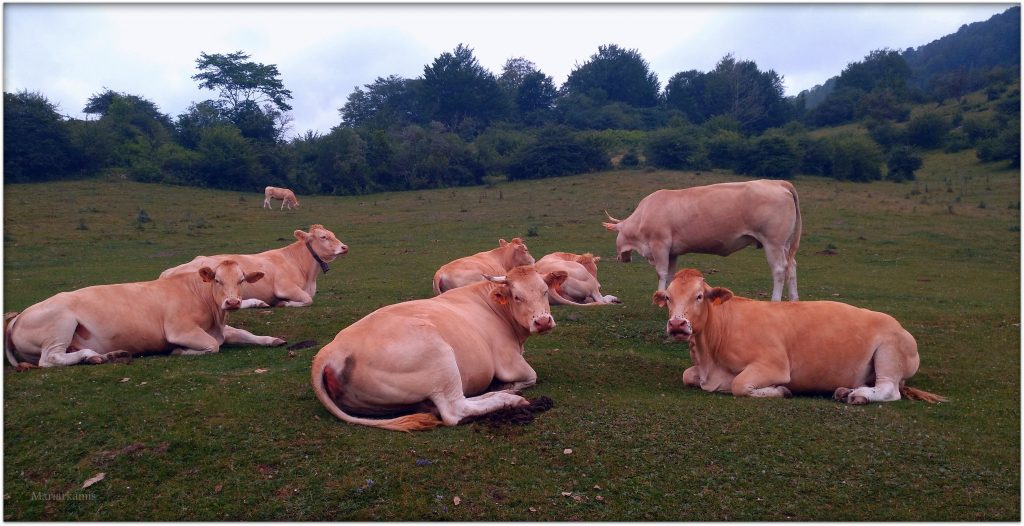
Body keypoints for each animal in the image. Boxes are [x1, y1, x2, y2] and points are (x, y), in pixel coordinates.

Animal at [4, 258, 284, 366]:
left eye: (241, 280)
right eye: (216, 279)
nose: (233, 302)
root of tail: (19, 316)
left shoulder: (221, 330)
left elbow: (245, 334)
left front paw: (272, 340)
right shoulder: (180, 329)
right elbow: (211, 346)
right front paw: (179, 351)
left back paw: (105, 356)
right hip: (60, 324)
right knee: (49, 359)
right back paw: (89, 355)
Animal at [161, 222, 346, 307]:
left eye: (333, 234)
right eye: (323, 237)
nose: (345, 247)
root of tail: (167, 272)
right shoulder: (284, 287)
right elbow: (308, 300)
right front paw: (283, 303)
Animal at [311, 266, 569, 429]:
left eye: (545, 291)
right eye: (517, 296)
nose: (543, 321)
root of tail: (331, 349)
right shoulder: (510, 362)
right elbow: (529, 376)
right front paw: (508, 387)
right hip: (439, 356)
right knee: (455, 409)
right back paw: (509, 399)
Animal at [602, 178, 802, 298]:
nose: (620, 257)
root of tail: (777, 182)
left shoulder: (660, 245)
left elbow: (662, 273)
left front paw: (660, 295)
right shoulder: (672, 252)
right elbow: (671, 275)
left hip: (773, 242)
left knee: (779, 270)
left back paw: (775, 301)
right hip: (784, 245)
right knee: (791, 268)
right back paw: (794, 301)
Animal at [651, 268, 946, 403]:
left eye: (699, 296)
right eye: (668, 297)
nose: (677, 324)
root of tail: (901, 328)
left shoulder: (773, 365)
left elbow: (739, 385)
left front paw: (780, 391)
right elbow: (687, 375)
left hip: (889, 351)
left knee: (889, 390)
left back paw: (858, 396)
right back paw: (846, 390)